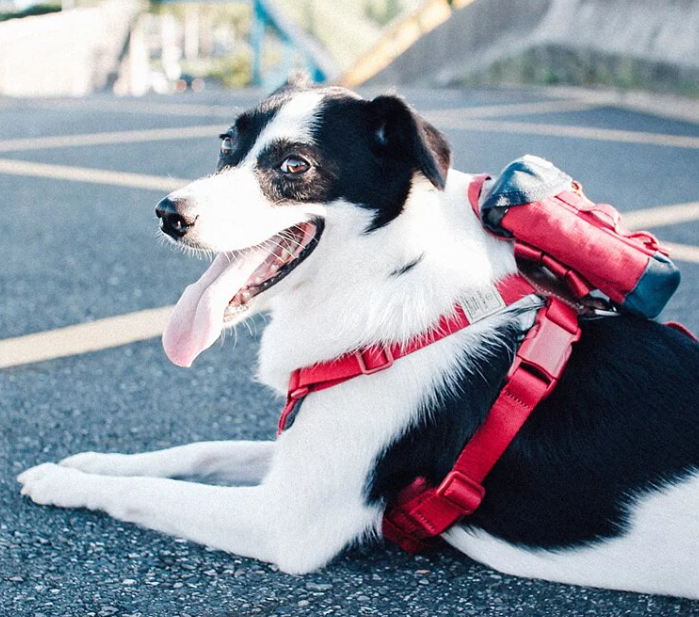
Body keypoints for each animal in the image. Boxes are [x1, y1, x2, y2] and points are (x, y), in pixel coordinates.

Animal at [16, 77, 699, 596]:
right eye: (226, 145)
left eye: (294, 166)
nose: (166, 213)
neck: (388, 272)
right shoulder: (302, 458)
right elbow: (198, 451)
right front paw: (92, 462)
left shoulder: (285, 521)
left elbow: (149, 492)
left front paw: (68, 484)